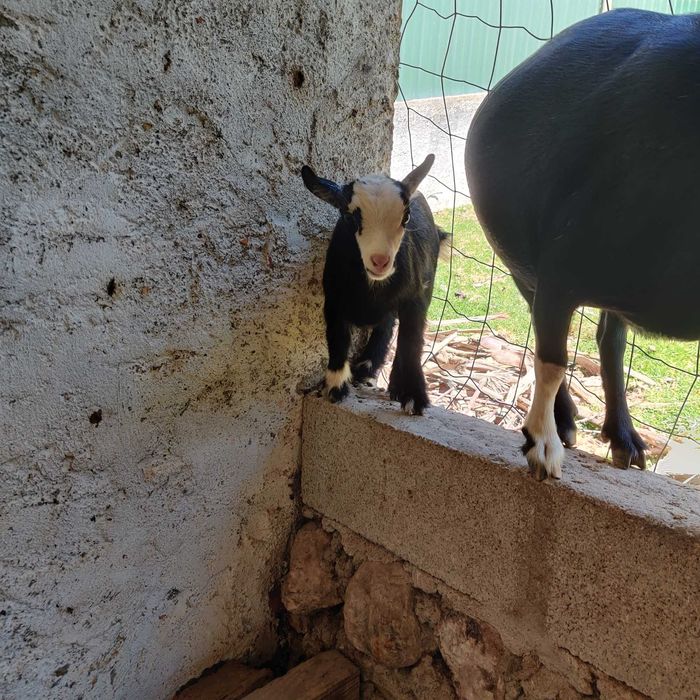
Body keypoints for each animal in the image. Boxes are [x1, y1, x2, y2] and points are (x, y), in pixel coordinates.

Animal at [301, 154, 446, 415]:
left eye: (405, 217)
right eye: (349, 216)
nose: (380, 261)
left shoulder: (415, 299)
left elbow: (411, 342)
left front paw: (413, 396)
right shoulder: (333, 298)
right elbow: (337, 338)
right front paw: (335, 388)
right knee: (386, 325)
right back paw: (365, 370)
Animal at [466, 9, 700, 479]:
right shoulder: (560, 271)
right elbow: (552, 360)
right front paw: (543, 447)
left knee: (610, 338)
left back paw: (624, 438)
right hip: (524, 267)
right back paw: (570, 421)